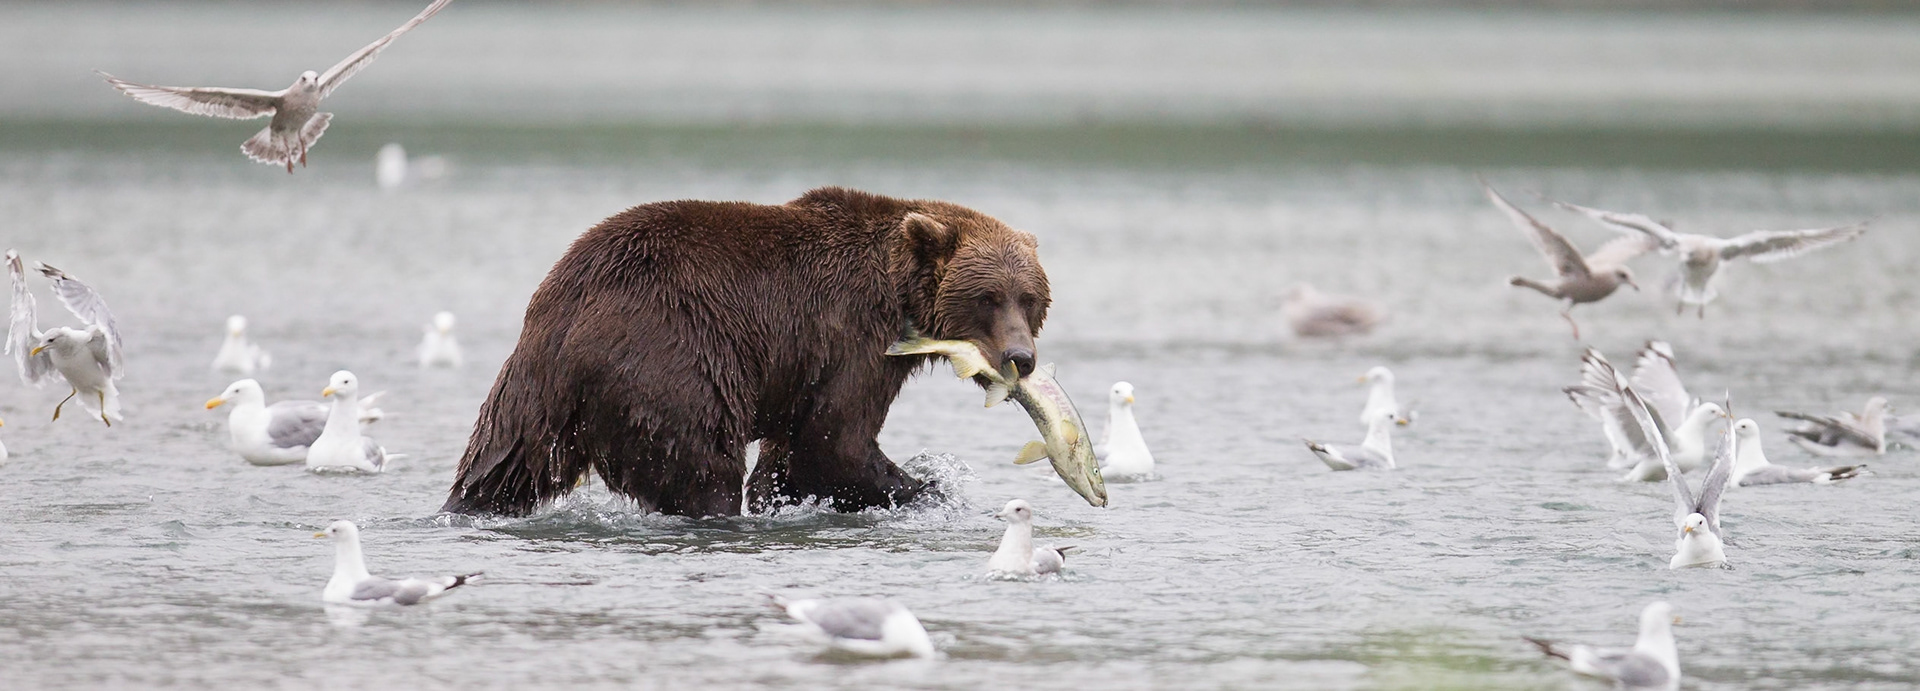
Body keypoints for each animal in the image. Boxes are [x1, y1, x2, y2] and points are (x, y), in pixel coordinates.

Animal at [442, 187, 1052, 517]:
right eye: (987, 297)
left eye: (1030, 297)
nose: (1020, 357)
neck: (899, 292)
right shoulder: (850, 338)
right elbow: (834, 441)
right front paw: (932, 489)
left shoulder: (807, 365)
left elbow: (791, 455)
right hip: (673, 356)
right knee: (704, 465)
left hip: (527, 392)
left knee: (498, 467)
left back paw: (463, 509)